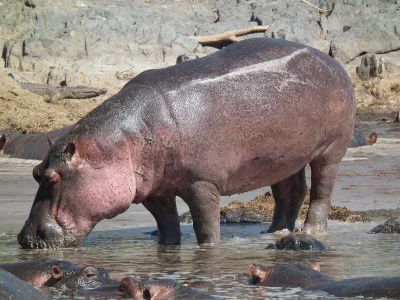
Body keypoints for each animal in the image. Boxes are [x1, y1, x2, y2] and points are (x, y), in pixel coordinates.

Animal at [18, 37, 354, 248]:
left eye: (53, 177)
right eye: (35, 173)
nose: (25, 238)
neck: (121, 143)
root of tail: (331, 60)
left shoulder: (202, 182)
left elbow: (205, 224)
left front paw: (209, 249)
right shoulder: (153, 190)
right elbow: (167, 222)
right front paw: (167, 248)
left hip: (331, 149)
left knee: (321, 191)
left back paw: (311, 231)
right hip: (283, 156)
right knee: (290, 191)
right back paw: (274, 231)